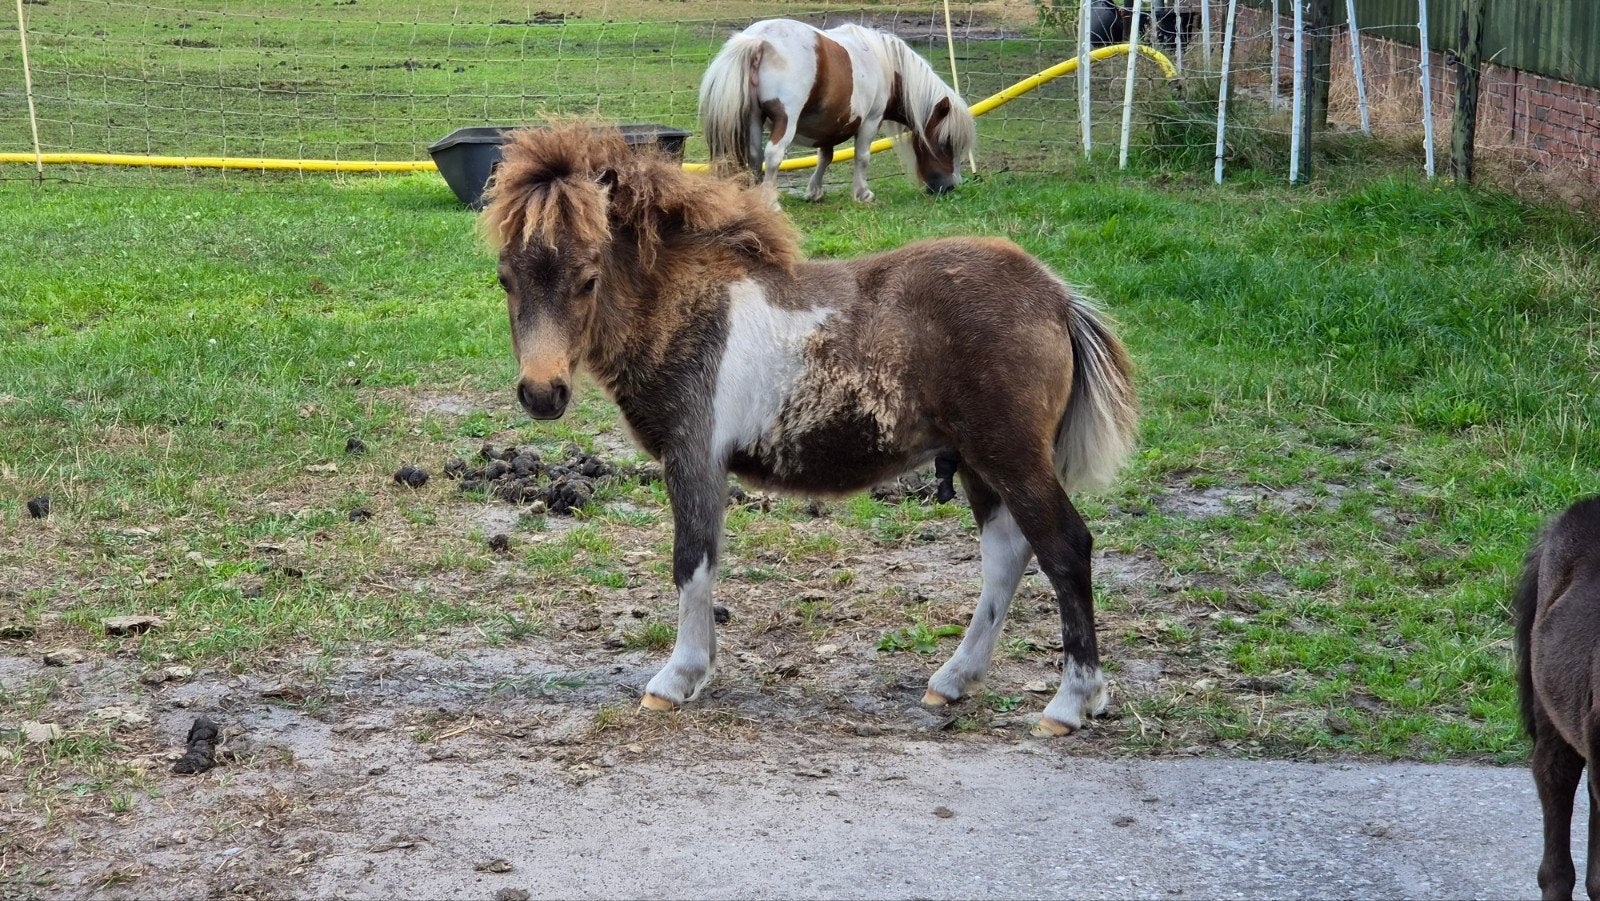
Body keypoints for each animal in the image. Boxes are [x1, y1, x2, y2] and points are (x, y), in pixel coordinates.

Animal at [480, 123, 1138, 736]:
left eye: (588, 278)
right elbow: (706, 560)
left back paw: (1071, 703)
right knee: (1006, 554)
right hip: (979, 461)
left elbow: (691, 560)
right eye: (505, 279)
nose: (542, 393)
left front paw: (677, 678)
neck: (691, 307)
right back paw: (954, 681)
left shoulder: (693, 455)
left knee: (1064, 548)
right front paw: (701, 670)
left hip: (1011, 454)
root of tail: (1056, 297)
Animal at [698, 19, 977, 205]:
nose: (950, 187)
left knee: (755, 155)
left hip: (754, 117)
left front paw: (815, 191)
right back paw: (770, 202)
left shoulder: (829, 123)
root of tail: (760, 41)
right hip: (785, 120)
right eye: (946, 142)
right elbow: (862, 157)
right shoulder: (870, 121)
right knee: (773, 155)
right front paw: (862, 193)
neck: (884, 64)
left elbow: (826, 157)